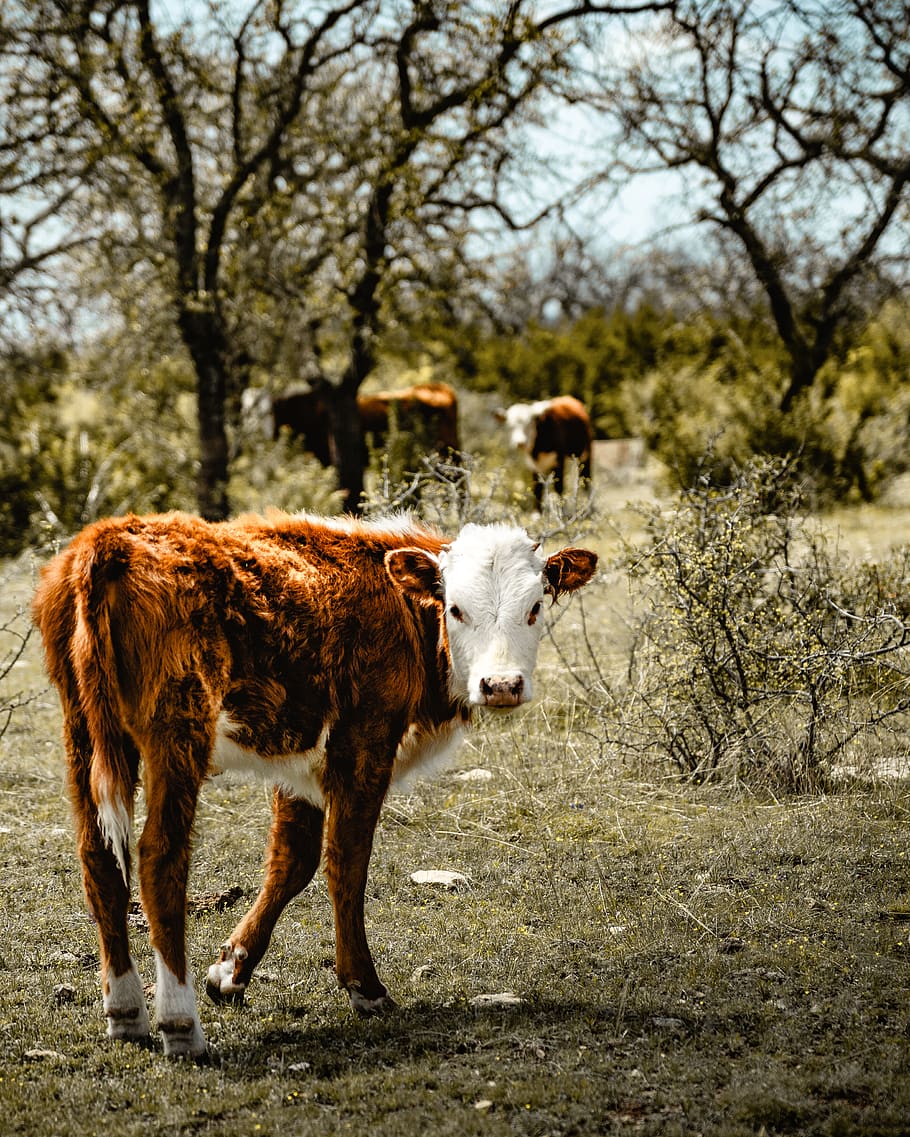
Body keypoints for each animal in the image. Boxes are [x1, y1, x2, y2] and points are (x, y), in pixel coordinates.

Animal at [32, 509, 597, 1057]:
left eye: (535, 608)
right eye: (456, 609)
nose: (500, 685)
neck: (401, 610)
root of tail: (109, 540)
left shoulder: (299, 765)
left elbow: (292, 861)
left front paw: (230, 971)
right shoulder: (364, 740)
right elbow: (347, 860)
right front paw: (365, 987)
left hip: (83, 730)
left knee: (99, 856)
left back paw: (126, 1011)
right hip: (178, 724)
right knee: (159, 858)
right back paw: (179, 1022)